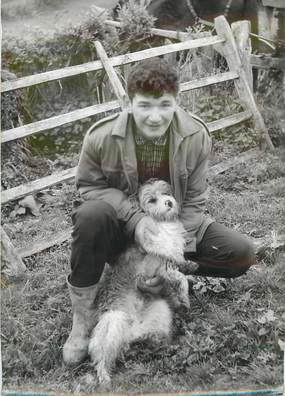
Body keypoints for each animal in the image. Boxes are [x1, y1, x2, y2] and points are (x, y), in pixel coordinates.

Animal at [89, 179, 194, 384]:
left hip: (160, 312)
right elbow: (178, 273)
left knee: (150, 341)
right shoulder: (157, 264)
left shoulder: (164, 268)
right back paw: (104, 377)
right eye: (152, 200)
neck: (162, 224)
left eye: (166, 192)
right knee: (102, 356)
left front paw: (184, 297)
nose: (169, 202)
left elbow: (180, 277)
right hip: (114, 322)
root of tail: (132, 332)